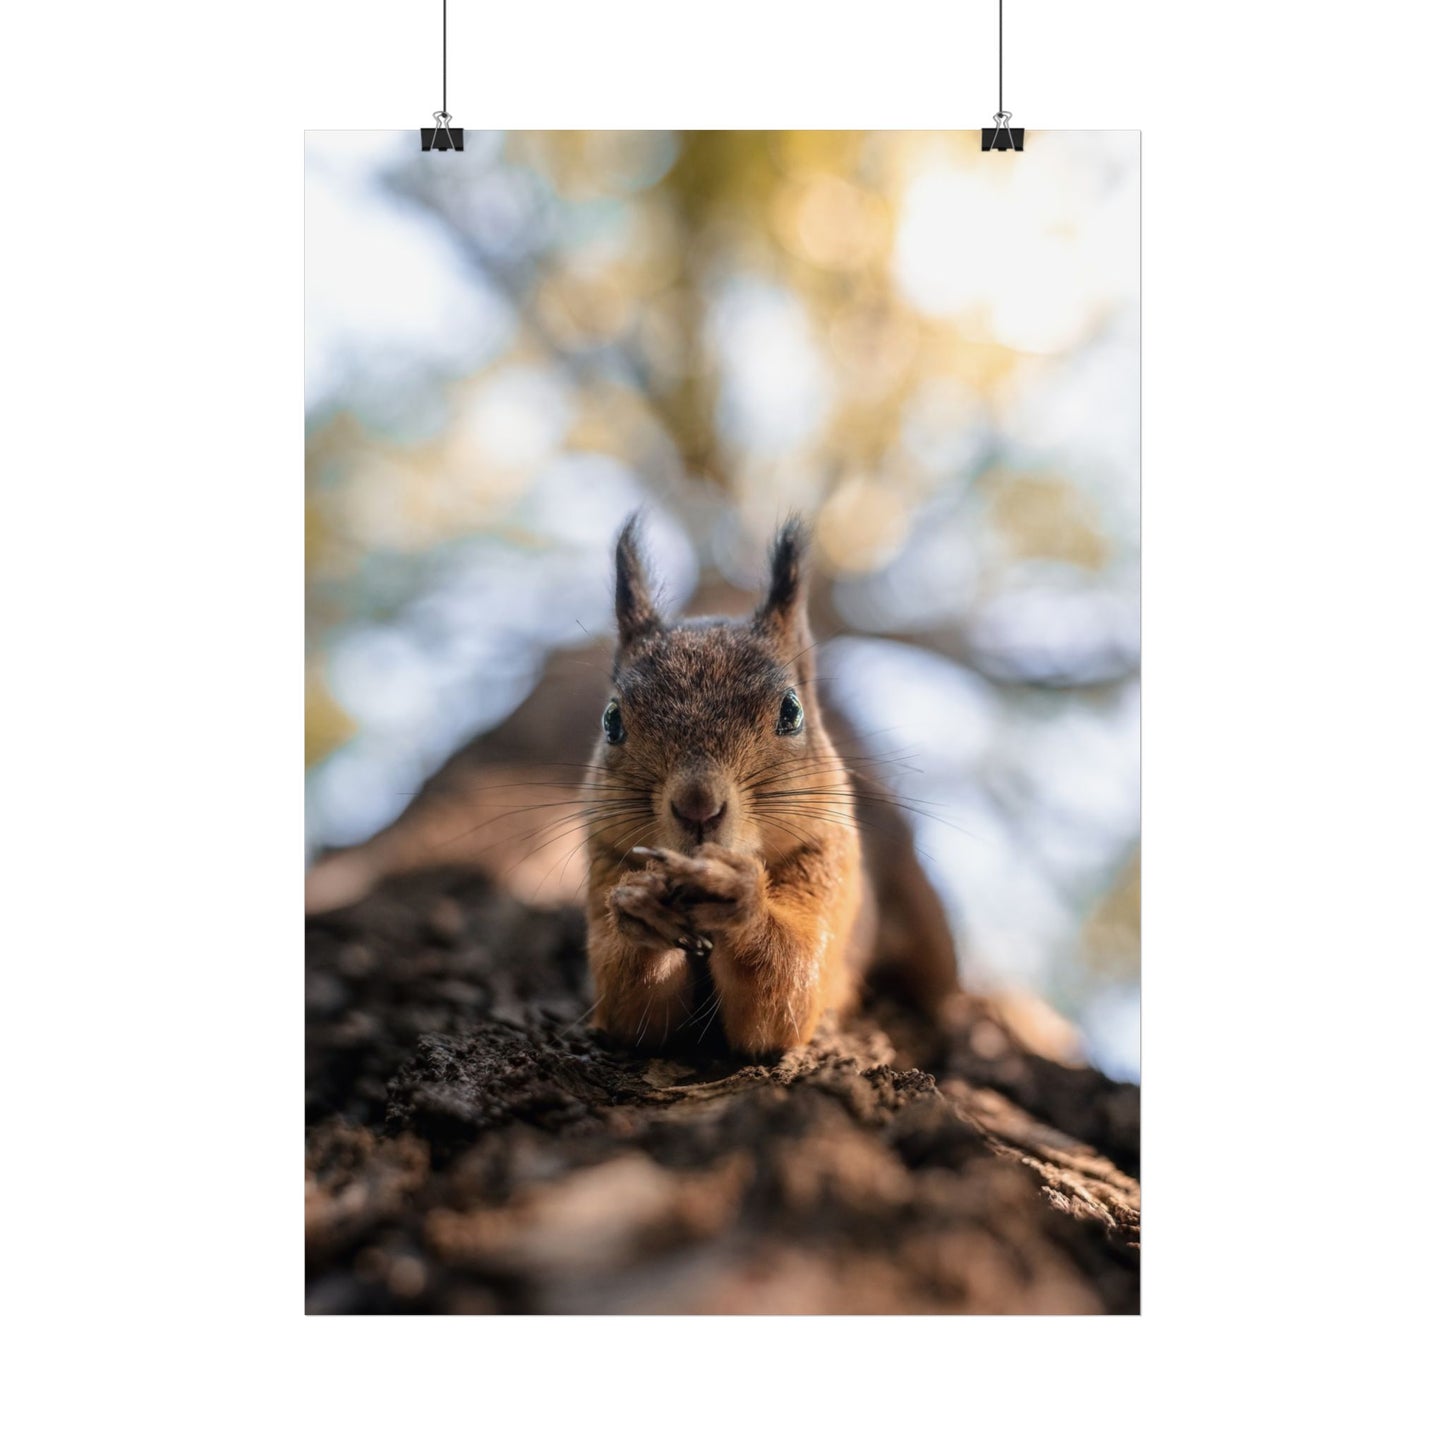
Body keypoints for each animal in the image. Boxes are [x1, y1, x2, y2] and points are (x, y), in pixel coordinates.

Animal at [587, 515, 958, 1056]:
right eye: (611, 721)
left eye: (791, 711)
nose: (697, 806)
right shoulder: (601, 860)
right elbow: (633, 1011)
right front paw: (642, 905)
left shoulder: (830, 862)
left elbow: (784, 993)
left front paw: (739, 895)